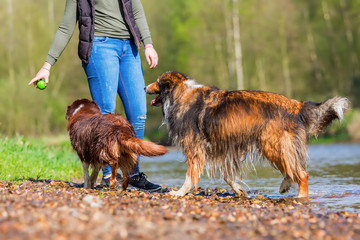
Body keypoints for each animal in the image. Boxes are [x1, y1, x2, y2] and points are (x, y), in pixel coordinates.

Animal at [145, 71, 350, 199]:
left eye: (158, 81)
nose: (144, 87)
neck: (179, 94)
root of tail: (296, 104)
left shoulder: (195, 149)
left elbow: (190, 176)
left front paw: (179, 193)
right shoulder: (221, 147)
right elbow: (228, 176)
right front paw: (240, 190)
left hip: (272, 144)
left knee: (302, 173)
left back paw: (300, 197)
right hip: (276, 145)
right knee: (292, 169)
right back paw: (285, 186)